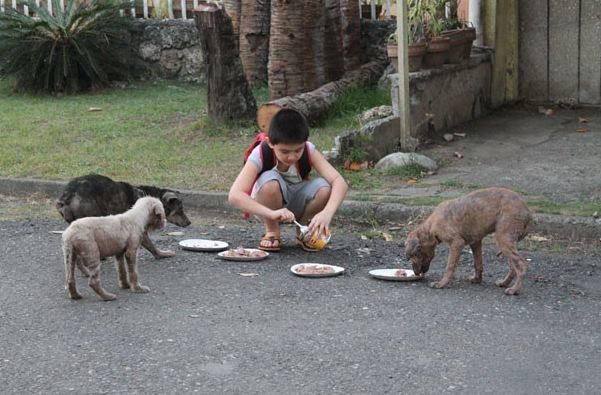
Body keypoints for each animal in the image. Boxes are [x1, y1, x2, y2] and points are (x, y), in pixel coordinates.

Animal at [55, 175, 190, 258]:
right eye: (180, 209)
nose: (189, 223)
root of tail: (68, 196)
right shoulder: (139, 230)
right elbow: (151, 246)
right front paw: (162, 254)